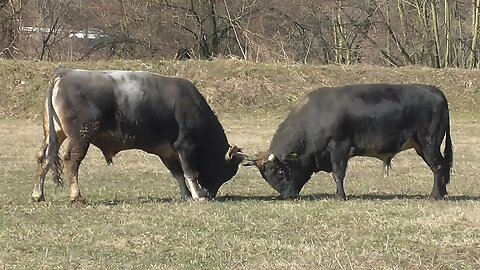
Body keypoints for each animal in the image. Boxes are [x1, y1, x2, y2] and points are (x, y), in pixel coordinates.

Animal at [32, 68, 248, 204]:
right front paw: (197, 195)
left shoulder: (167, 151)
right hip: (80, 137)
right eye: (226, 171)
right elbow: (190, 173)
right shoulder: (185, 146)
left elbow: (177, 173)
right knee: (72, 160)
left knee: (44, 158)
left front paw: (186, 194)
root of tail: (66, 73)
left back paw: (38, 195)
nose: (210, 194)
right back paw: (76, 196)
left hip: (55, 133)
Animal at [246, 84, 452, 200]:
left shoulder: (339, 146)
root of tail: (434, 90)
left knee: (438, 166)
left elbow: (338, 173)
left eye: (280, 172)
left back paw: (436, 196)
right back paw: (442, 193)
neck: (313, 118)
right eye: (266, 177)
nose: (287, 196)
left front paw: (340, 196)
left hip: (429, 142)